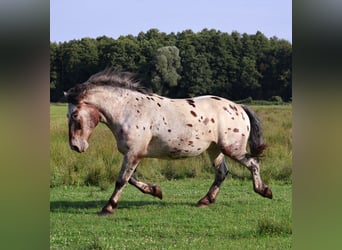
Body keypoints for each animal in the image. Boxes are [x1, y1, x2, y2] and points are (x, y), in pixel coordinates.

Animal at [64, 68, 272, 215]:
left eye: (74, 115)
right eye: (68, 115)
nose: (76, 146)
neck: (128, 110)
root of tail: (239, 107)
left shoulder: (134, 153)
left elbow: (122, 179)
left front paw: (108, 207)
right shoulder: (134, 153)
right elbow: (131, 179)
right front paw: (156, 191)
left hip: (232, 148)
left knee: (253, 162)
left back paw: (264, 191)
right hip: (215, 149)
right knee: (222, 172)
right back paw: (205, 201)